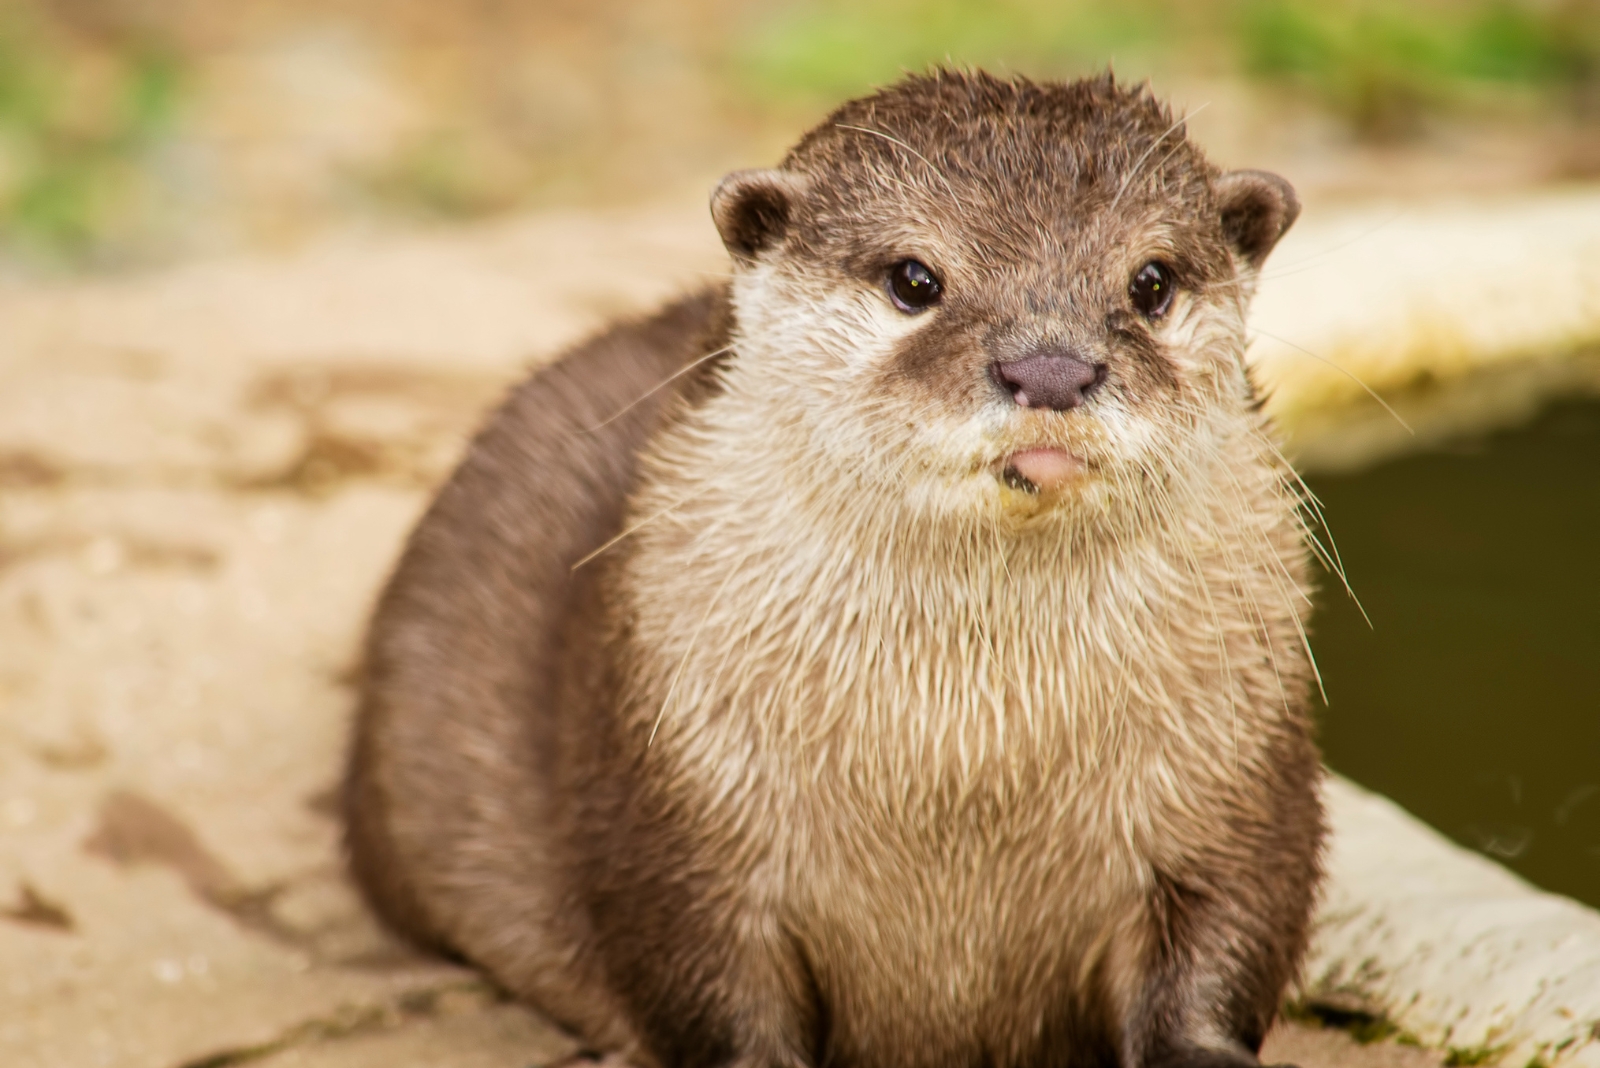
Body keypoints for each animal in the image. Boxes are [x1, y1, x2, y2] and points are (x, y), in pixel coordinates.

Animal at [344, 71, 1324, 1068]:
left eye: (1151, 281)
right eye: (914, 279)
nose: (1049, 367)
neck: (964, 776)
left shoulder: (1236, 787)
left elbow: (1228, 932)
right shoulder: (677, 812)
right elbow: (704, 977)